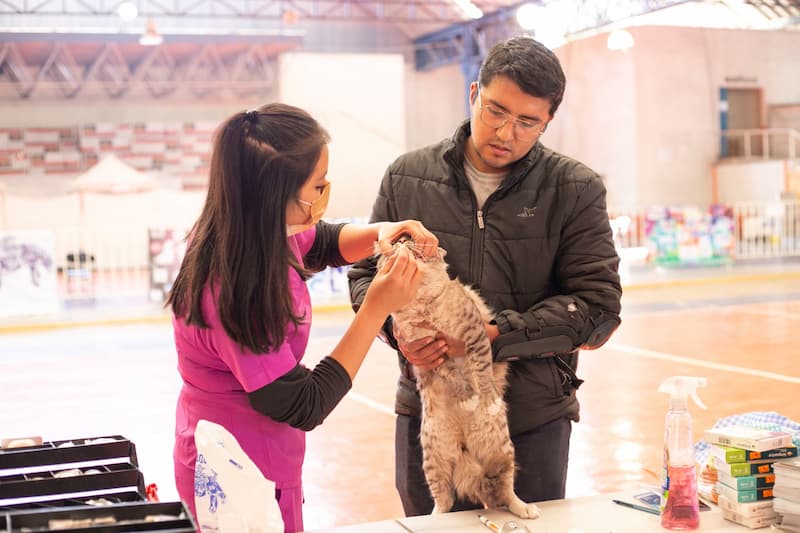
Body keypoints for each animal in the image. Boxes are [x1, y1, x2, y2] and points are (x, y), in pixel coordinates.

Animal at [378, 238, 540, 520]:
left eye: (411, 240)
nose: (401, 240)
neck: (423, 302)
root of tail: (464, 445)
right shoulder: (431, 353)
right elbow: (455, 377)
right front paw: (467, 396)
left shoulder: (474, 334)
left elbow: (481, 371)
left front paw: (485, 399)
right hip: (433, 460)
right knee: (444, 499)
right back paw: (433, 518)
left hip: (502, 450)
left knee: (506, 492)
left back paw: (524, 508)